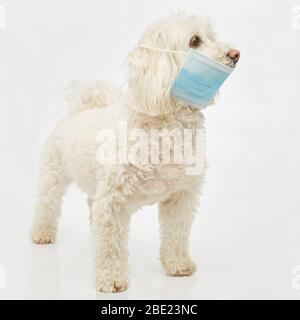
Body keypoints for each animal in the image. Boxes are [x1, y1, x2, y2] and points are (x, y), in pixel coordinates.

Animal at [30, 13, 240, 292]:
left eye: (212, 37)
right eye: (194, 41)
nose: (235, 54)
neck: (164, 125)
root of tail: (79, 109)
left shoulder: (181, 196)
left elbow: (176, 232)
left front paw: (177, 265)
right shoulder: (113, 201)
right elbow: (110, 245)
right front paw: (111, 279)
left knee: (91, 205)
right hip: (54, 173)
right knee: (47, 202)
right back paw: (42, 232)